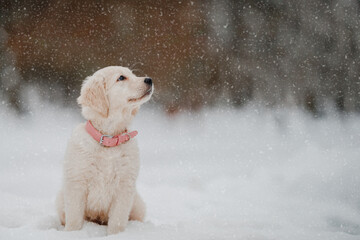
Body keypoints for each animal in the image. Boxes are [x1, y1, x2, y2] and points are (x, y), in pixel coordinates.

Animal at [56, 65, 153, 234]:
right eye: (121, 78)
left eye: (133, 74)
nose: (149, 80)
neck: (109, 139)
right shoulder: (76, 183)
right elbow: (74, 218)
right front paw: (72, 233)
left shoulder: (124, 186)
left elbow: (118, 220)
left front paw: (116, 235)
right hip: (61, 197)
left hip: (138, 203)